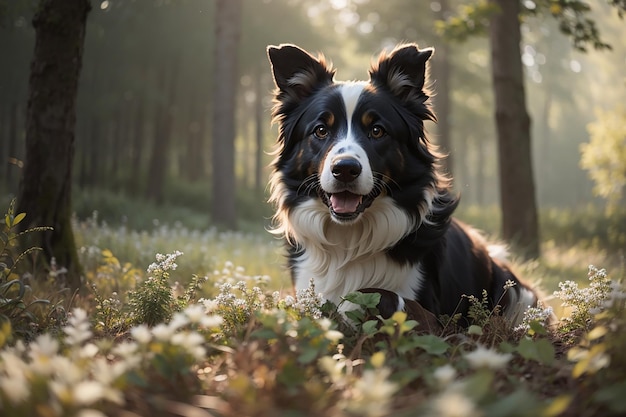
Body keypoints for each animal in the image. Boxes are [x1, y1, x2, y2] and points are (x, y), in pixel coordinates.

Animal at [266, 42, 532, 324]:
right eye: (320, 130)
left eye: (377, 131)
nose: (345, 169)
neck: (350, 241)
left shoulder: (435, 316)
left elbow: (379, 295)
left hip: (515, 292)